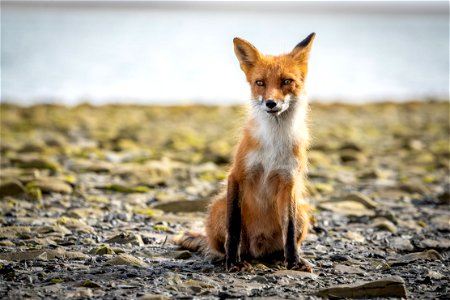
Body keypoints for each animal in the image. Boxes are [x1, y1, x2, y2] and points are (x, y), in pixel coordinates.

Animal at [174, 33, 314, 272]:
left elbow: (289, 230)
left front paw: (294, 262)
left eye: (286, 81)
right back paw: (225, 257)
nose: (271, 103)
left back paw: (281, 258)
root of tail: (258, 250)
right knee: (220, 244)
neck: (273, 144)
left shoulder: (289, 181)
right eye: (260, 83)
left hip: (302, 212)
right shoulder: (237, 175)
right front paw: (232, 261)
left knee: (282, 243)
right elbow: (234, 228)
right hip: (219, 208)